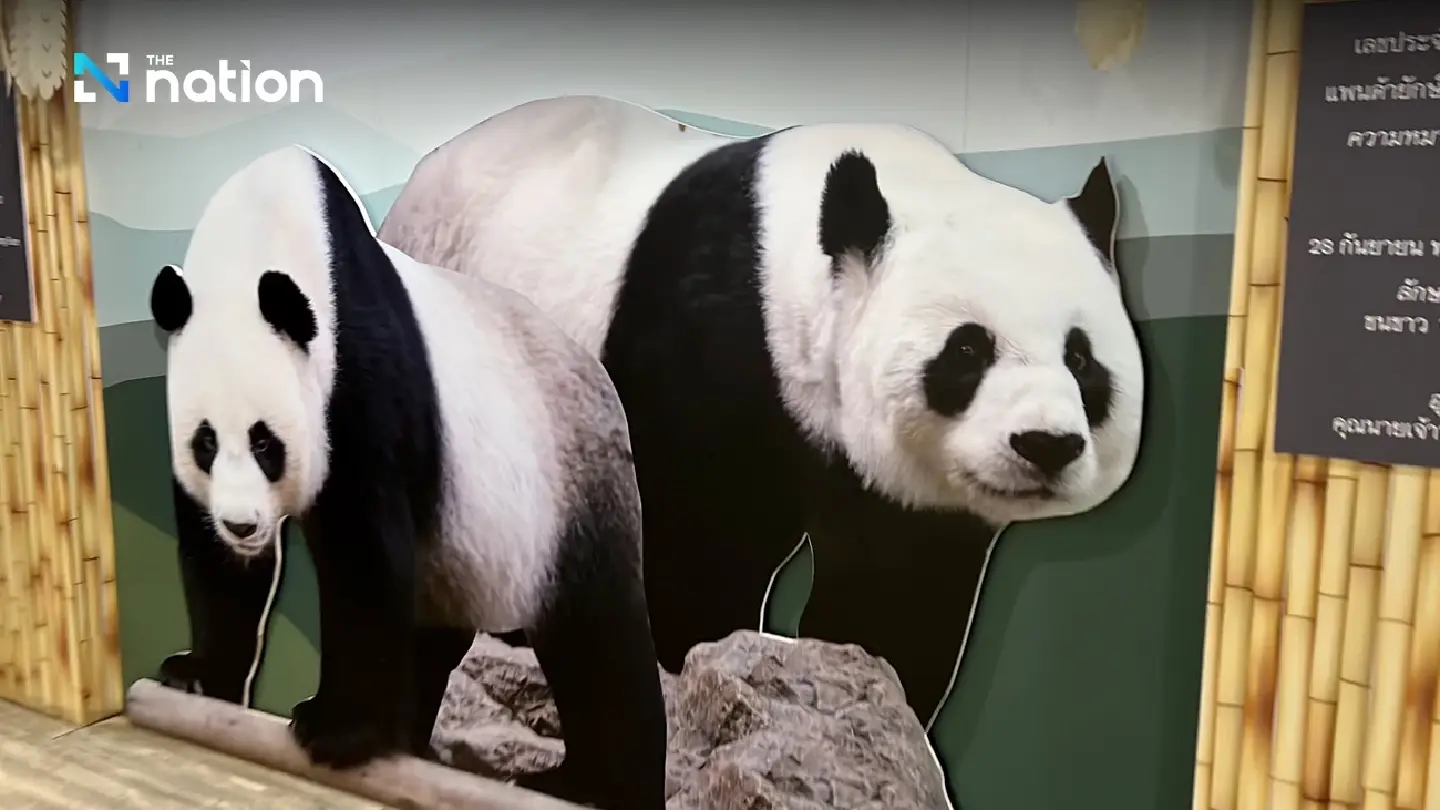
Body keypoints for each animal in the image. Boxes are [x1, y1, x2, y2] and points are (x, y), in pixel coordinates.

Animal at [147, 144, 668, 810]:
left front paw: (336, 729)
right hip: (462, 556)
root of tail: (603, 383)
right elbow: (217, 566)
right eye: (206, 442)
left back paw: (592, 783)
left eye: (266, 443)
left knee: (599, 646)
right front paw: (197, 676)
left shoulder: (355, 372)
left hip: (572, 497)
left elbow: (362, 550)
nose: (243, 525)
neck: (260, 235)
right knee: (434, 638)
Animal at [376, 96, 1146, 737]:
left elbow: (896, 589)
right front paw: (704, 675)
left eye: (1082, 359)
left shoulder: (904, 492)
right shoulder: (705, 345)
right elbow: (692, 544)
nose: (1045, 445)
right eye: (967, 350)